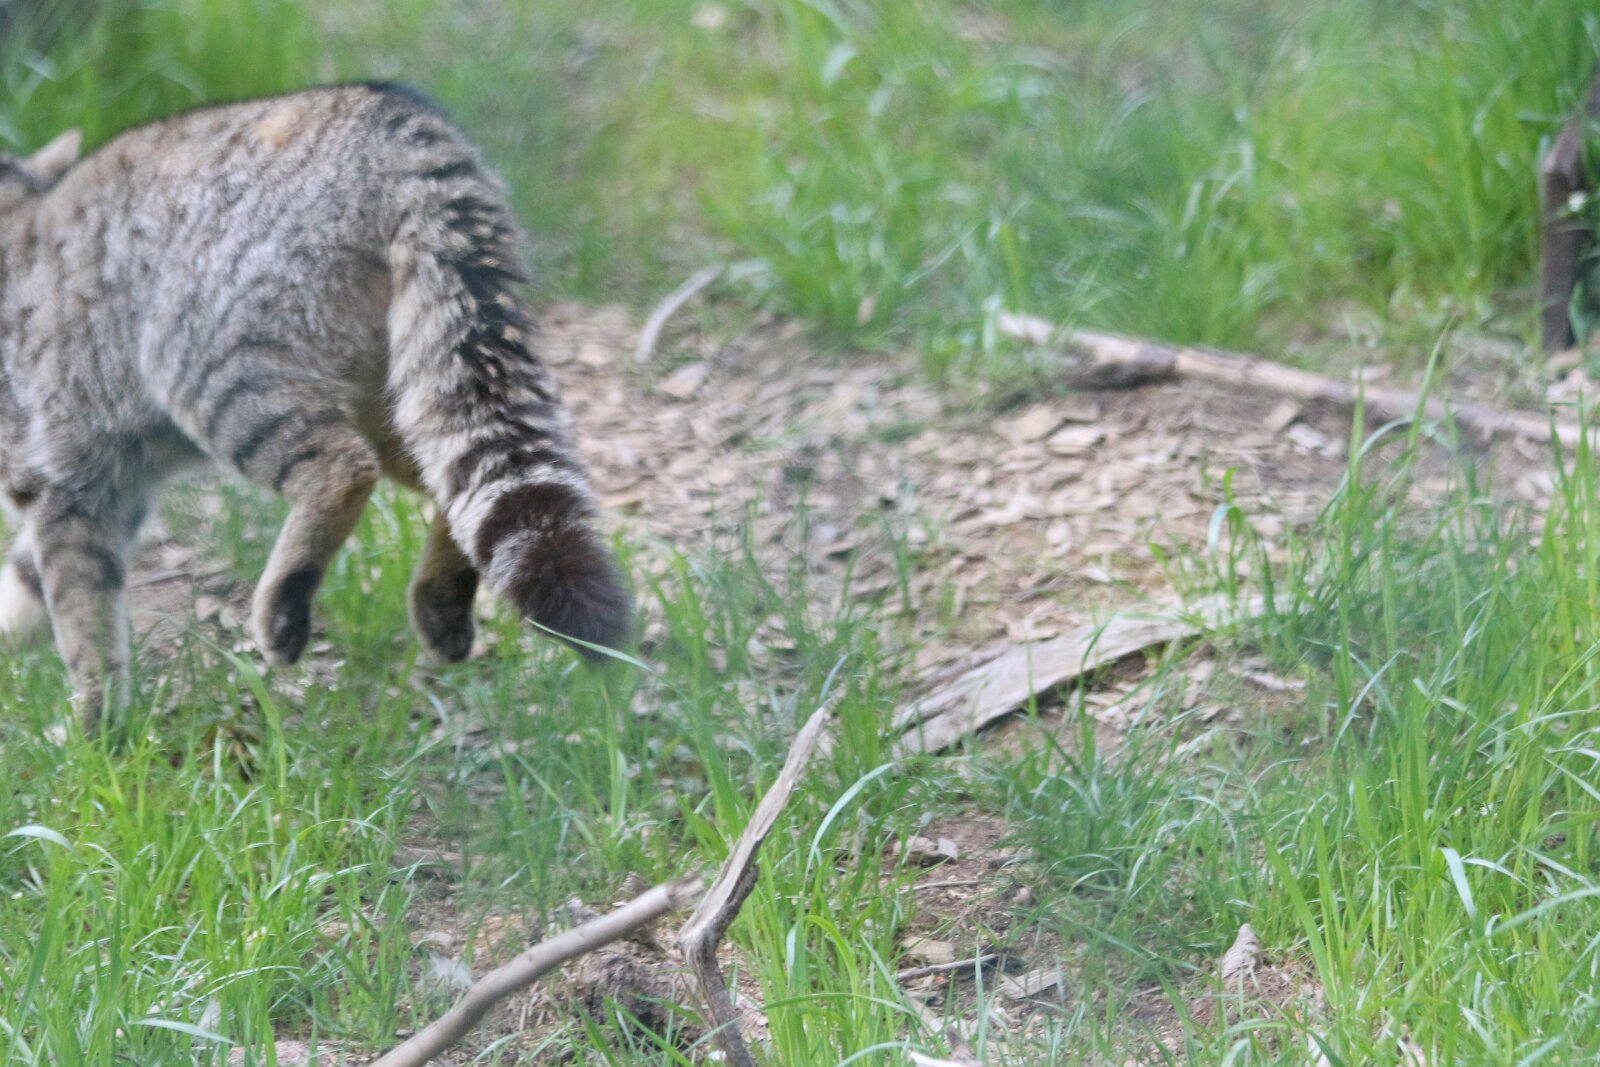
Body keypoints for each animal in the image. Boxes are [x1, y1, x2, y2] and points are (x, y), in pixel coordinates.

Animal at [0, 82, 631, 731]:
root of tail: (391, 116)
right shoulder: (108, 483)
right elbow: (35, 578)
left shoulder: (63, 480)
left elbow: (83, 617)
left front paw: (94, 724)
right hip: (402, 381)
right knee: (453, 476)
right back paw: (440, 599)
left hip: (211, 365)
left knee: (343, 466)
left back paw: (286, 601)